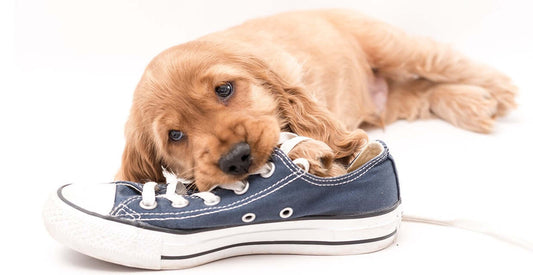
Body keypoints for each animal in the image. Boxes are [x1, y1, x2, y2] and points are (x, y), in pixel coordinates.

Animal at [116, 9, 516, 191]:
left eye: (224, 89)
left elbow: (305, 133)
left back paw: (498, 90)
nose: (236, 158)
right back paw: (473, 104)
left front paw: (312, 153)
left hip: (390, 46)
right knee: (423, 91)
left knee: (442, 60)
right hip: (395, 101)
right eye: (175, 136)